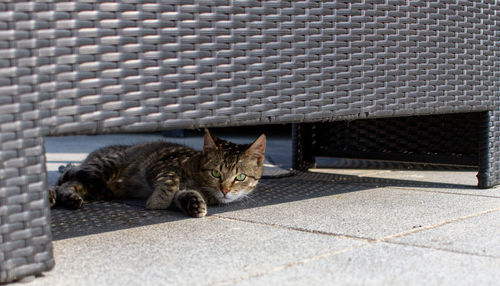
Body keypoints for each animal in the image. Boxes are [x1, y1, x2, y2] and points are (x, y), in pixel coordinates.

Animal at [48, 128, 266, 218]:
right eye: (215, 173)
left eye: (240, 177)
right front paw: (158, 202)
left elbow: (182, 195)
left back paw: (69, 198)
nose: (225, 190)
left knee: (69, 185)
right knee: (69, 176)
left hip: (96, 189)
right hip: (102, 167)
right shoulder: (159, 165)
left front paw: (194, 203)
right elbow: (170, 182)